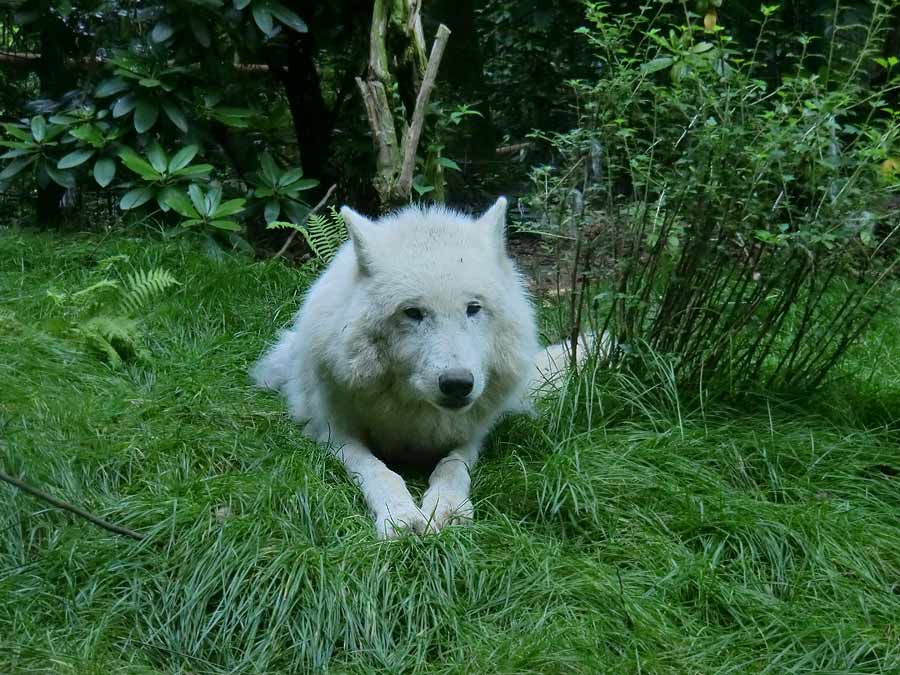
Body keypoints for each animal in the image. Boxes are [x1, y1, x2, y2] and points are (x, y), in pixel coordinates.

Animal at [253, 195, 584, 540]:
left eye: (473, 308)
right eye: (412, 312)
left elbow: (452, 467)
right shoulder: (333, 432)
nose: (457, 383)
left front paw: (448, 506)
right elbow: (380, 471)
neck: (414, 413)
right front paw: (399, 514)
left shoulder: (472, 435)